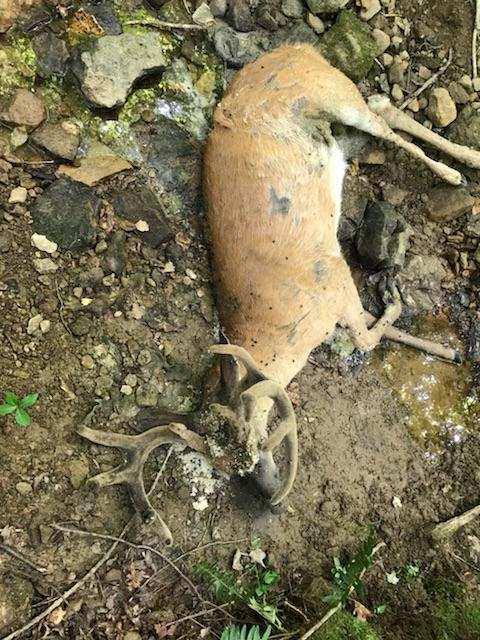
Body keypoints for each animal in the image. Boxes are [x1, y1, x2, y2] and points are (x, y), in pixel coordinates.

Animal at [79, 43, 480, 544]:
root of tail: (293, 49)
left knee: (382, 117)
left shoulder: (334, 278)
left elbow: (367, 337)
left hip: (330, 91)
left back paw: (460, 168)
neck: (283, 335)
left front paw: (394, 295)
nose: (270, 496)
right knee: (383, 110)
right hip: (333, 119)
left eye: (252, 449)